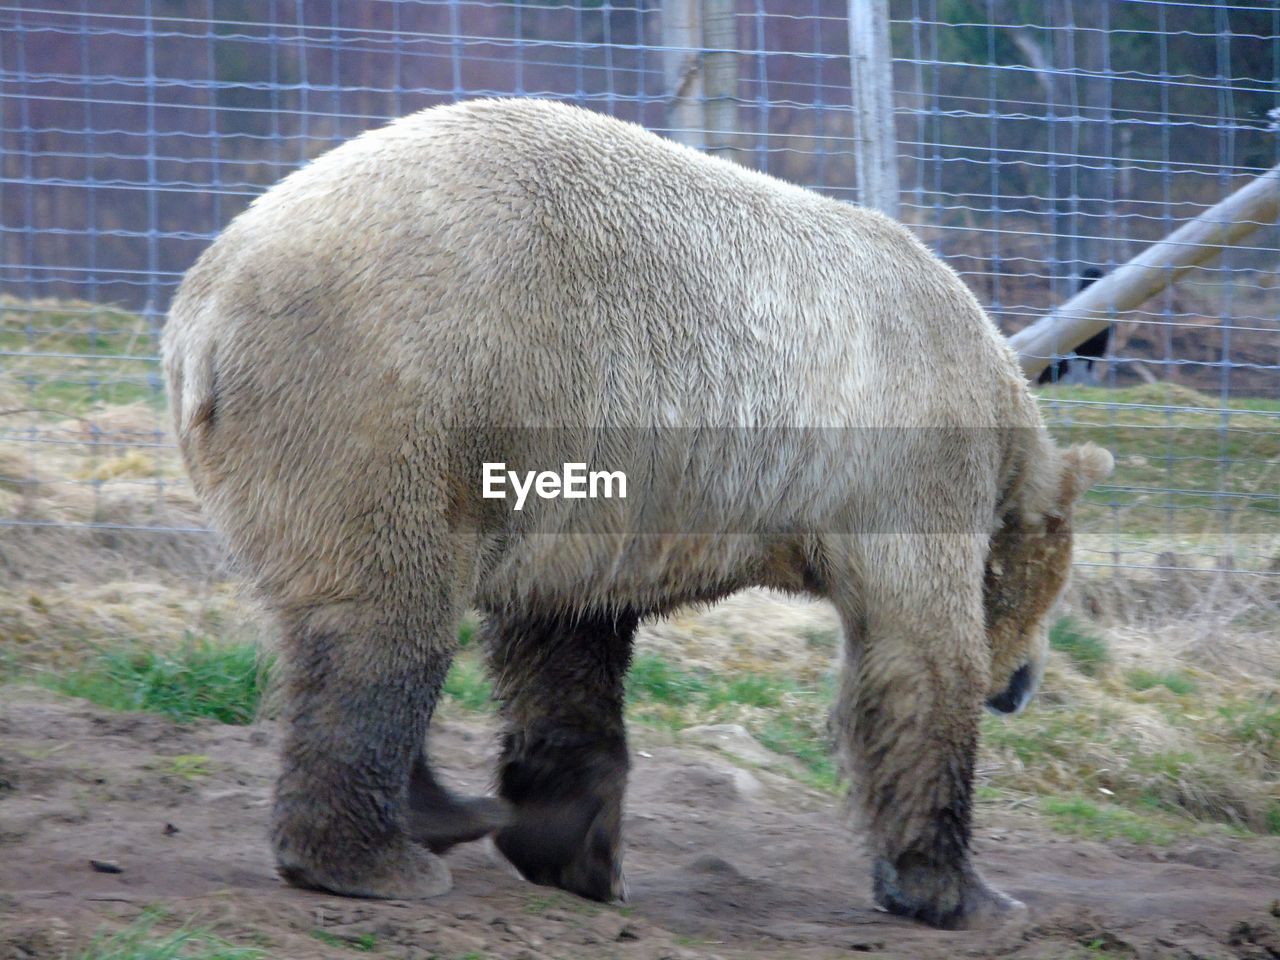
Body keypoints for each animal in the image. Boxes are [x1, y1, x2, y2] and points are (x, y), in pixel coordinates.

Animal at [165, 97, 1111, 931]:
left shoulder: (585, 489)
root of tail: (204, 313)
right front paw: (968, 894)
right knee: (388, 617)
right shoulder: (911, 451)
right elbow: (917, 655)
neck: (993, 381)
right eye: (1050, 593)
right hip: (402, 392)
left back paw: (445, 812)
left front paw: (575, 849)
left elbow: (564, 639)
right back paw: (375, 860)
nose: (1021, 688)